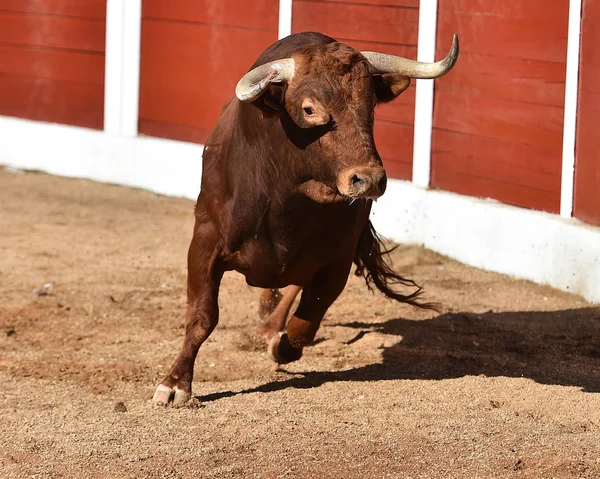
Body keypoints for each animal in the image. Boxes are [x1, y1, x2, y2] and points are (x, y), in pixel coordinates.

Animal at [152, 31, 458, 404]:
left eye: (370, 105)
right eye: (309, 109)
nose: (368, 179)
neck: (286, 194)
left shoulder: (337, 262)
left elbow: (303, 327)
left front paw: (278, 343)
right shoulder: (205, 242)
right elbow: (202, 316)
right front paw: (175, 384)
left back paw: (271, 325)